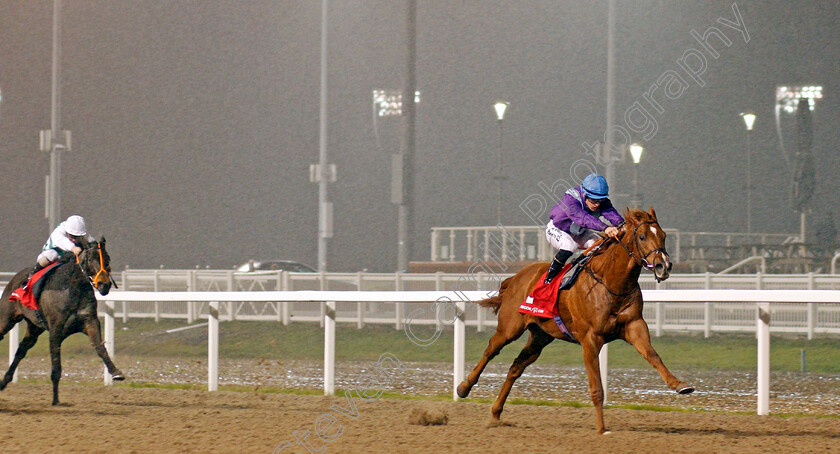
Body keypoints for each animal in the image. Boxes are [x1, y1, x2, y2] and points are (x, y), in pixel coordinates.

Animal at [460, 207, 696, 434]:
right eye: (642, 236)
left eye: (663, 235)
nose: (663, 266)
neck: (612, 283)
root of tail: (515, 277)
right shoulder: (590, 338)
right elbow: (597, 387)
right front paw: (601, 429)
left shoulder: (634, 326)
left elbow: (653, 355)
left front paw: (680, 384)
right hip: (510, 327)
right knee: (491, 350)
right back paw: (464, 387)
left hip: (540, 336)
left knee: (516, 367)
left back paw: (496, 413)